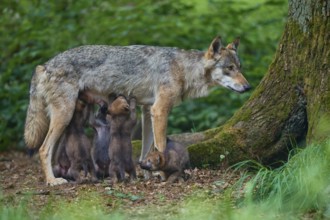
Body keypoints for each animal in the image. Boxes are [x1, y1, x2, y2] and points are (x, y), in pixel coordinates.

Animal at [23, 37, 250, 186]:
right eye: (229, 68)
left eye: (240, 67)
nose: (248, 87)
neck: (183, 69)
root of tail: (44, 65)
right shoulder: (160, 110)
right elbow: (160, 145)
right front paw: (161, 175)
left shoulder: (147, 111)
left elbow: (147, 149)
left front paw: (147, 173)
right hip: (64, 115)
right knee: (43, 149)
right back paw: (53, 181)